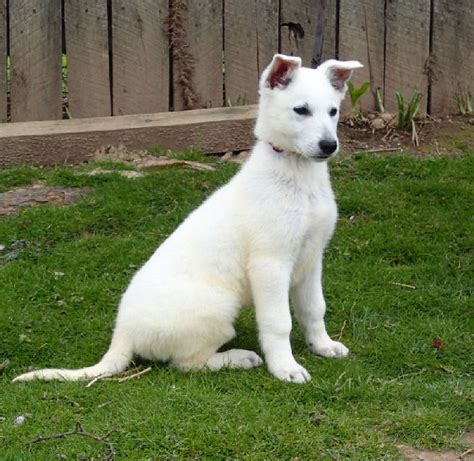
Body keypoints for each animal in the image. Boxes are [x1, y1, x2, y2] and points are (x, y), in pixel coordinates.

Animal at [15, 54, 362, 384]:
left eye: (333, 111)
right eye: (300, 110)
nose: (329, 145)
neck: (297, 175)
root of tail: (122, 335)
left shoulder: (311, 257)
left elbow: (314, 308)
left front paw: (322, 345)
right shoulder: (270, 264)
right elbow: (279, 322)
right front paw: (285, 367)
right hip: (218, 306)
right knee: (186, 364)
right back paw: (239, 357)